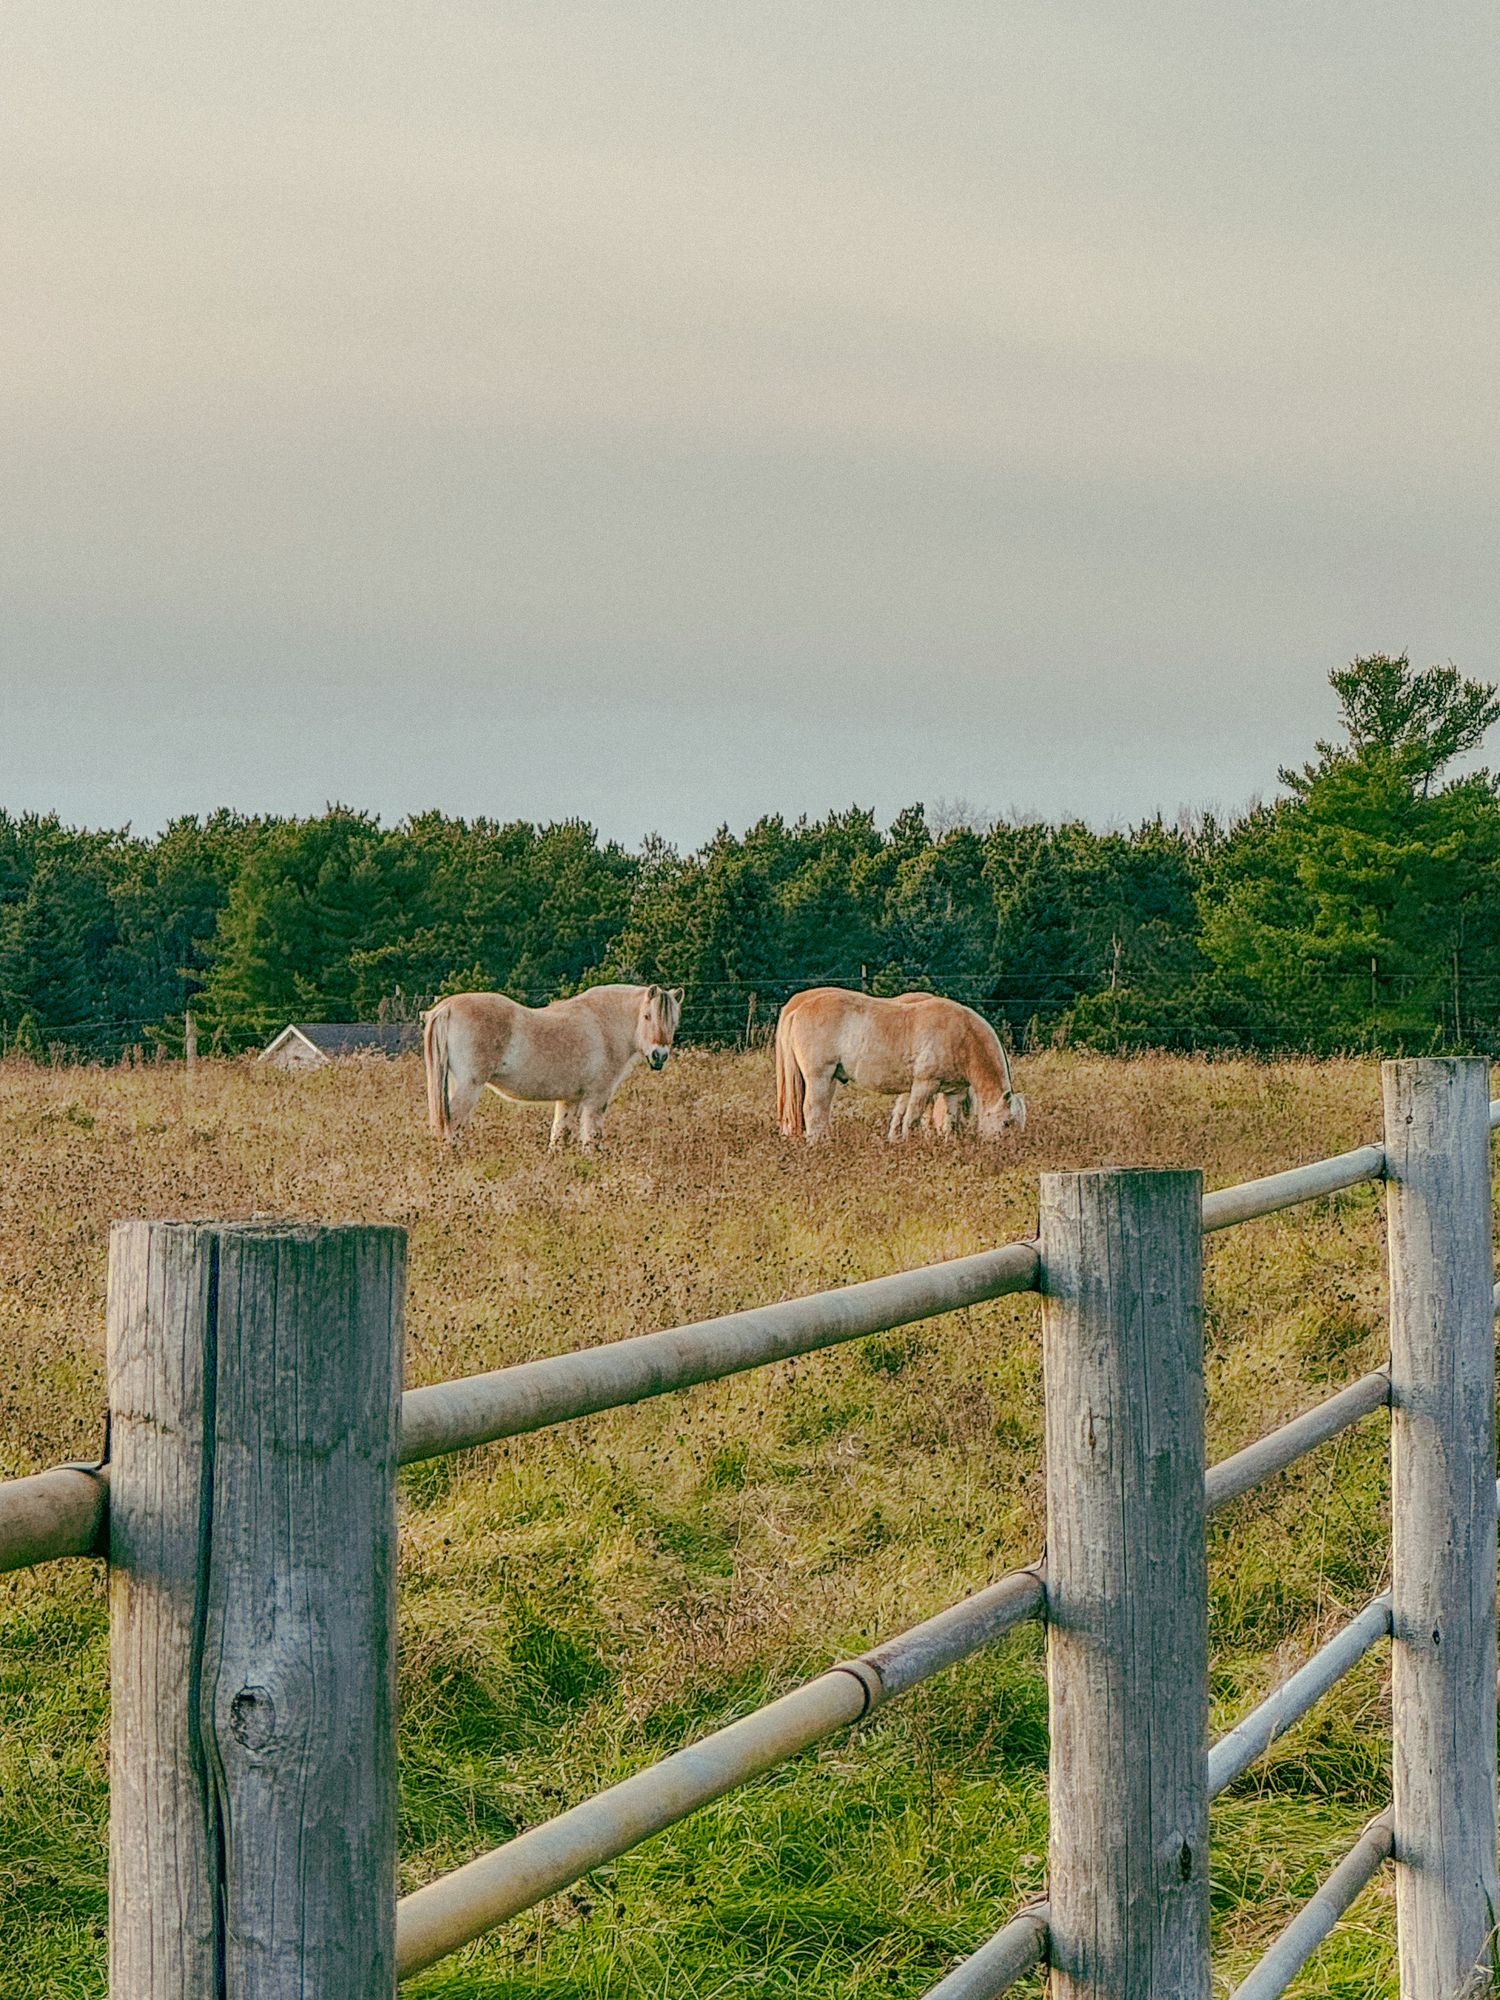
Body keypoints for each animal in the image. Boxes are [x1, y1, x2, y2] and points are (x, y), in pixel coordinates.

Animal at [422, 983, 683, 1149]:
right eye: (648, 1016)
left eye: (674, 1021)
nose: (659, 1056)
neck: (604, 1026)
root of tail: (446, 1008)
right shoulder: (596, 1100)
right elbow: (591, 1138)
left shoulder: (569, 1100)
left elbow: (559, 1137)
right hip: (469, 1087)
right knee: (450, 1125)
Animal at [775, 987, 1025, 1143]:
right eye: (1006, 1124)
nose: (1011, 1151)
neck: (962, 1035)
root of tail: (799, 1008)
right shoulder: (924, 1085)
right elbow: (911, 1119)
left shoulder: (954, 1091)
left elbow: (950, 1122)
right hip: (819, 1078)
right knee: (813, 1112)